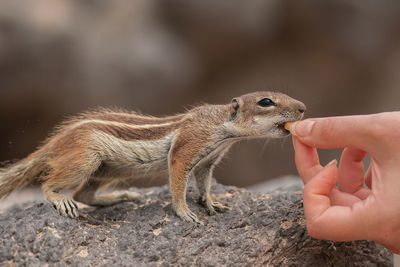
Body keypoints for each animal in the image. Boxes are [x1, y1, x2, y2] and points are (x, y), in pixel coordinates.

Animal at [0, 91, 304, 223]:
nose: (303, 107)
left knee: (83, 194)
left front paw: (211, 203)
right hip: (84, 159)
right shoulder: (187, 147)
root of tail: (53, 144)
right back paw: (60, 198)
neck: (221, 128)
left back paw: (119, 196)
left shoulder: (207, 161)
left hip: (111, 170)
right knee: (52, 186)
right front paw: (185, 213)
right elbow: (178, 182)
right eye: (266, 102)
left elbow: (204, 183)